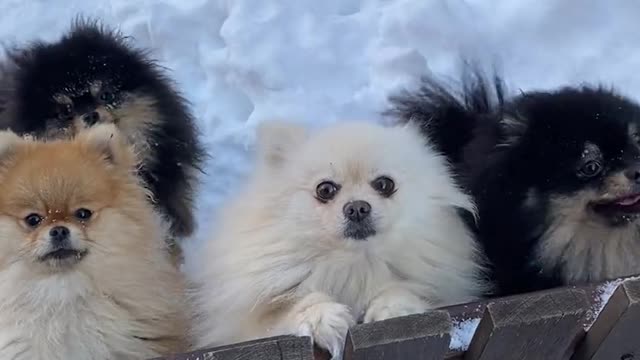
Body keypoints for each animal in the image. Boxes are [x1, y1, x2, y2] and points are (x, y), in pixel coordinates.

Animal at [192, 120, 488, 358]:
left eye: (384, 184)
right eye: (325, 189)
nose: (357, 207)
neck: (352, 263)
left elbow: (401, 290)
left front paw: (394, 311)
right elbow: (293, 307)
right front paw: (325, 320)